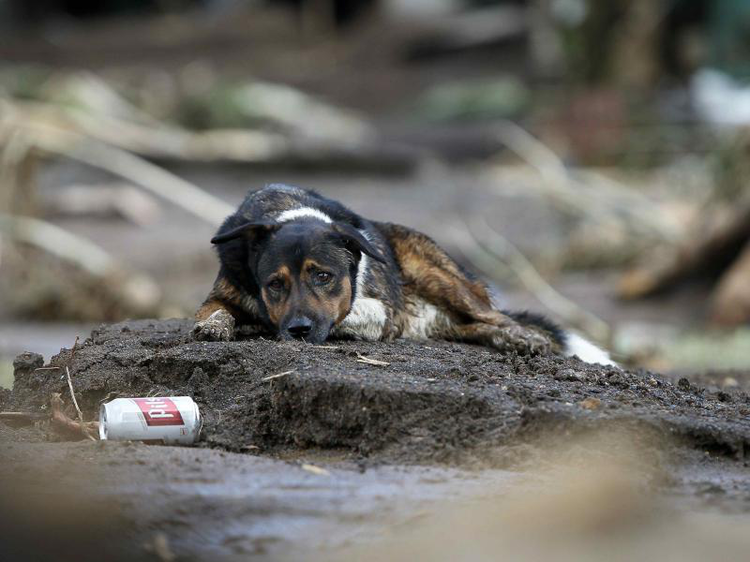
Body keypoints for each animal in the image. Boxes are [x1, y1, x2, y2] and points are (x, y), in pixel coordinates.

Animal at [194, 184, 616, 364]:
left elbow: (346, 315)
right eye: (275, 284)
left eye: (324, 276)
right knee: (472, 328)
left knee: (495, 316)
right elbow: (215, 311)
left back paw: (524, 339)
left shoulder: (383, 313)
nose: (298, 330)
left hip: (441, 278)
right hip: (444, 319)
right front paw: (216, 327)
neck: (290, 211)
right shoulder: (221, 294)